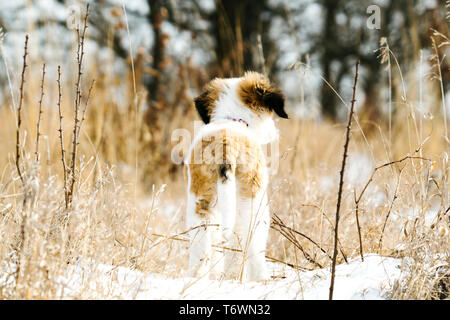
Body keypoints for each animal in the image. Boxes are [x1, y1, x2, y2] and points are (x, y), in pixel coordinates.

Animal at [184, 71, 286, 282]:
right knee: (245, 241)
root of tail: (225, 142)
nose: (274, 133)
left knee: (203, 245)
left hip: (200, 203)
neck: (233, 118)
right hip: (252, 202)